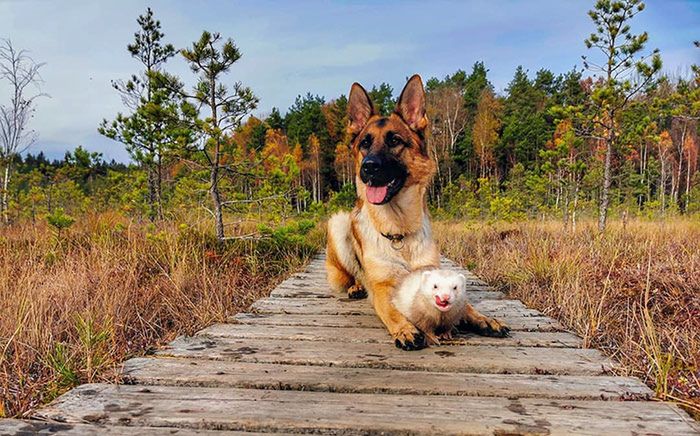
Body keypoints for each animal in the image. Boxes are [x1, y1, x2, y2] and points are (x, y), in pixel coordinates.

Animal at [328, 73, 508, 350]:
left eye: (394, 141)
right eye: (365, 144)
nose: (368, 168)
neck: (399, 231)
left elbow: (466, 304)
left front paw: (483, 319)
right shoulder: (382, 288)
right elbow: (391, 309)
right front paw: (405, 329)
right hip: (338, 224)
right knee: (353, 274)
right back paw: (356, 286)